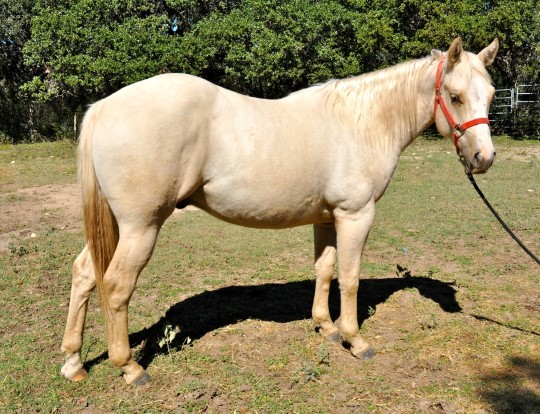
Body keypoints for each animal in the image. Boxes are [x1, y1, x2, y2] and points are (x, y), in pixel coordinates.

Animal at [60, 38, 498, 384]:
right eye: (455, 96)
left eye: (492, 95)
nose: (484, 158)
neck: (362, 123)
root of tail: (104, 107)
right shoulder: (355, 215)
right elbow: (349, 278)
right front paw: (355, 340)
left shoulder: (327, 217)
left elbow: (325, 270)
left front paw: (325, 326)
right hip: (141, 226)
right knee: (116, 286)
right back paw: (130, 368)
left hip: (117, 225)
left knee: (84, 274)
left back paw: (74, 362)